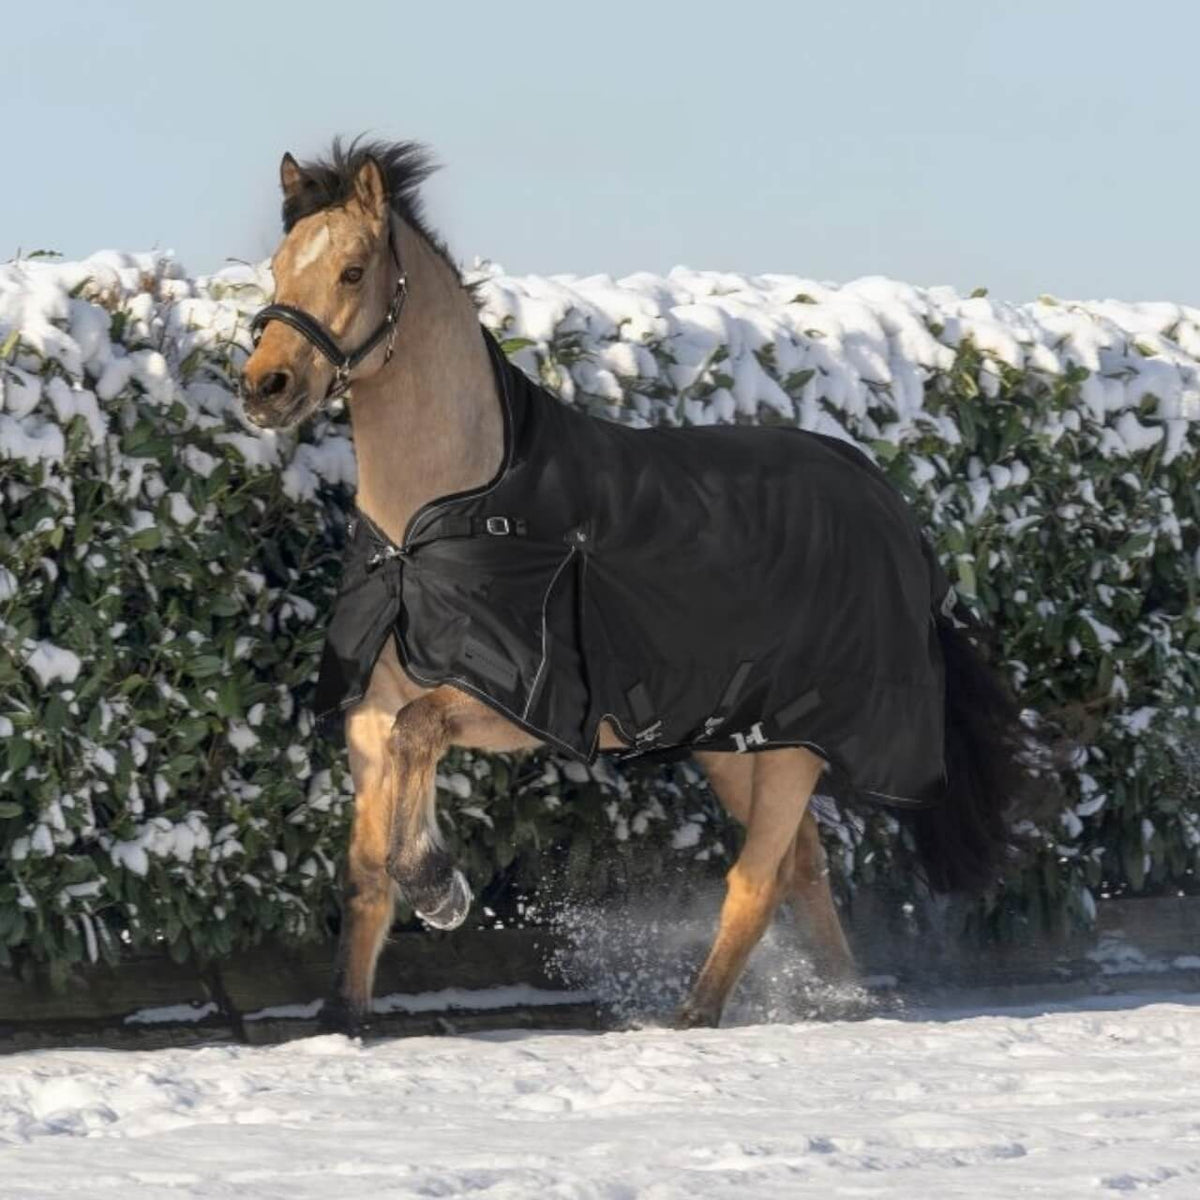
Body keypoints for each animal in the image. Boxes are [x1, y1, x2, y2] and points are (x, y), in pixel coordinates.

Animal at [240, 138, 1027, 1032]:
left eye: (352, 270)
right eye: (277, 267)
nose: (265, 387)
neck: (434, 523)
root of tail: (893, 511)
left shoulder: (513, 704)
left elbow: (419, 739)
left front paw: (441, 889)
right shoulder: (367, 713)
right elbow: (366, 873)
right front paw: (341, 1018)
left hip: (797, 744)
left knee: (758, 879)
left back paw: (696, 1016)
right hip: (735, 742)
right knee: (804, 869)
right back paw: (842, 999)